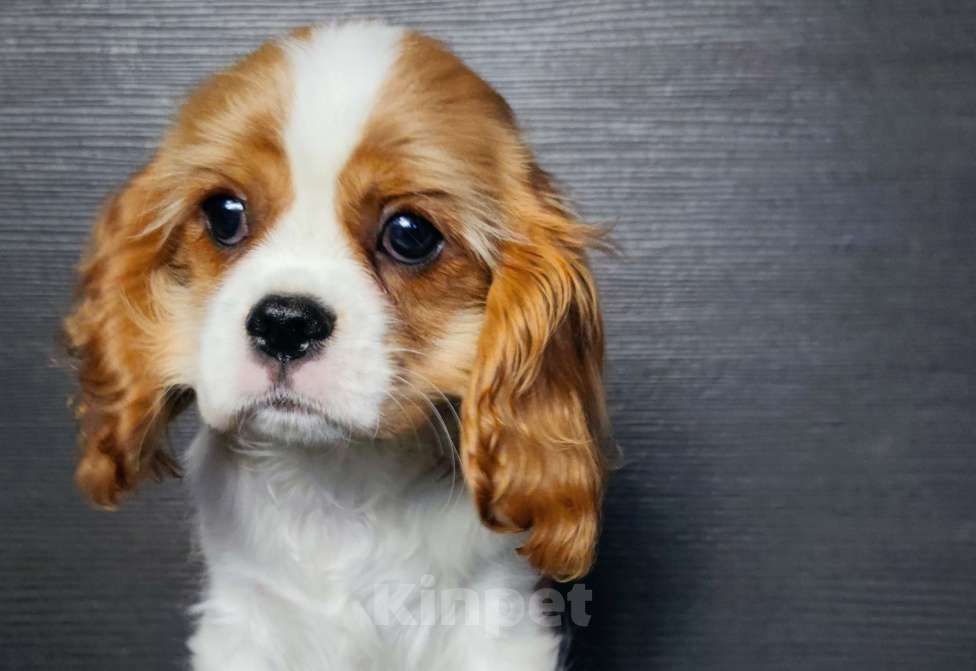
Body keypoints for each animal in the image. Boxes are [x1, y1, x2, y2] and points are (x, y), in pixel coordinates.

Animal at [65, 21, 608, 670]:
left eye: (410, 234)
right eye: (224, 213)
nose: (284, 323)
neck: (337, 482)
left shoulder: (497, 627)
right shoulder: (239, 628)